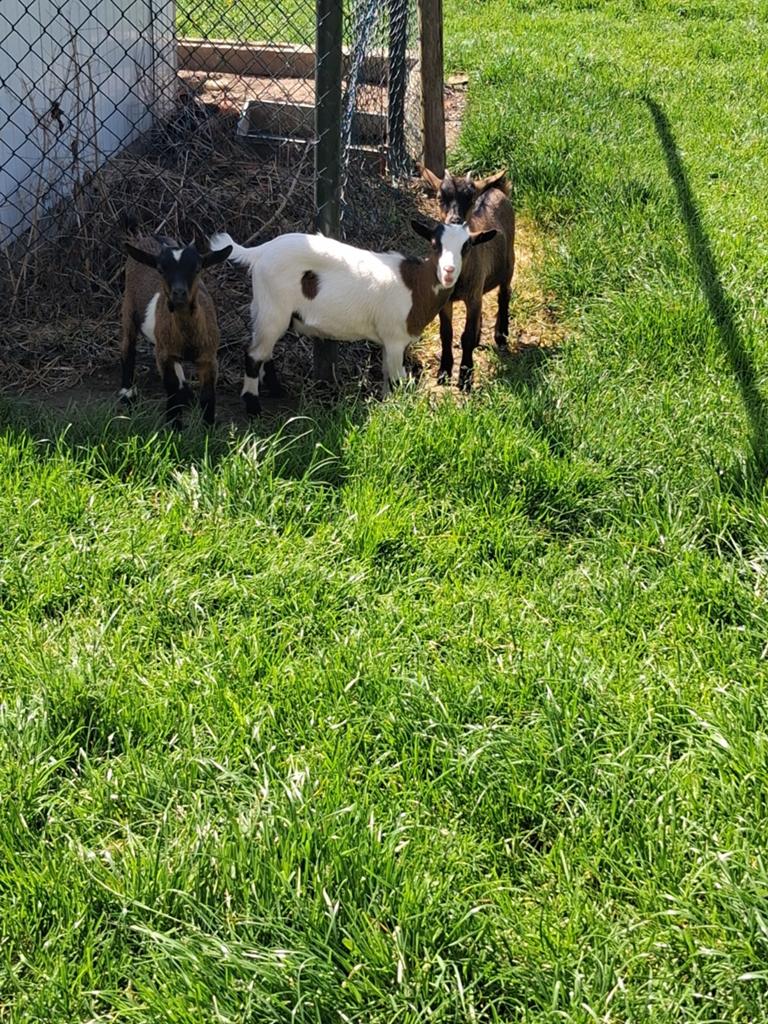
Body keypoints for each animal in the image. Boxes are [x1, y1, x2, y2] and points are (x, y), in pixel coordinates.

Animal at [119, 231, 232, 427]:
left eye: (197, 268)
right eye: (160, 270)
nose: (178, 293)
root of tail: (150, 236)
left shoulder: (209, 357)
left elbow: (208, 396)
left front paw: (208, 428)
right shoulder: (164, 355)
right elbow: (171, 391)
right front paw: (174, 426)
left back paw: (186, 394)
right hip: (128, 305)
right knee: (128, 346)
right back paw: (128, 395)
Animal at [208, 220, 496, 415]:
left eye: (467, 246)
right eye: (435, 244)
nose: (448, 272)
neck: (415, 285)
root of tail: (260, 251)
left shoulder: (388, 341)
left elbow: (386, 375)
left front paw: (387, 405)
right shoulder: (395, 338)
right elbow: (398, 379)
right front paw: (398, 410)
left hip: (264, 307)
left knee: (263, 352)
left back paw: (277, 391)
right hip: (273, 308)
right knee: (253, 354)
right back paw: (253, 405)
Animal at [421, 167, 515, 391]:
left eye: (470, 198)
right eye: (440, 197)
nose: (455, 222)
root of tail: (495, 189)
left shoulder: (472, 296)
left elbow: (466, 335)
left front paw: (465, 378)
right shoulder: (446, 300)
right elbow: (446, 333)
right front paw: (444, 372)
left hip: (509, 263)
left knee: (504, 294)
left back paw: (501, 335)